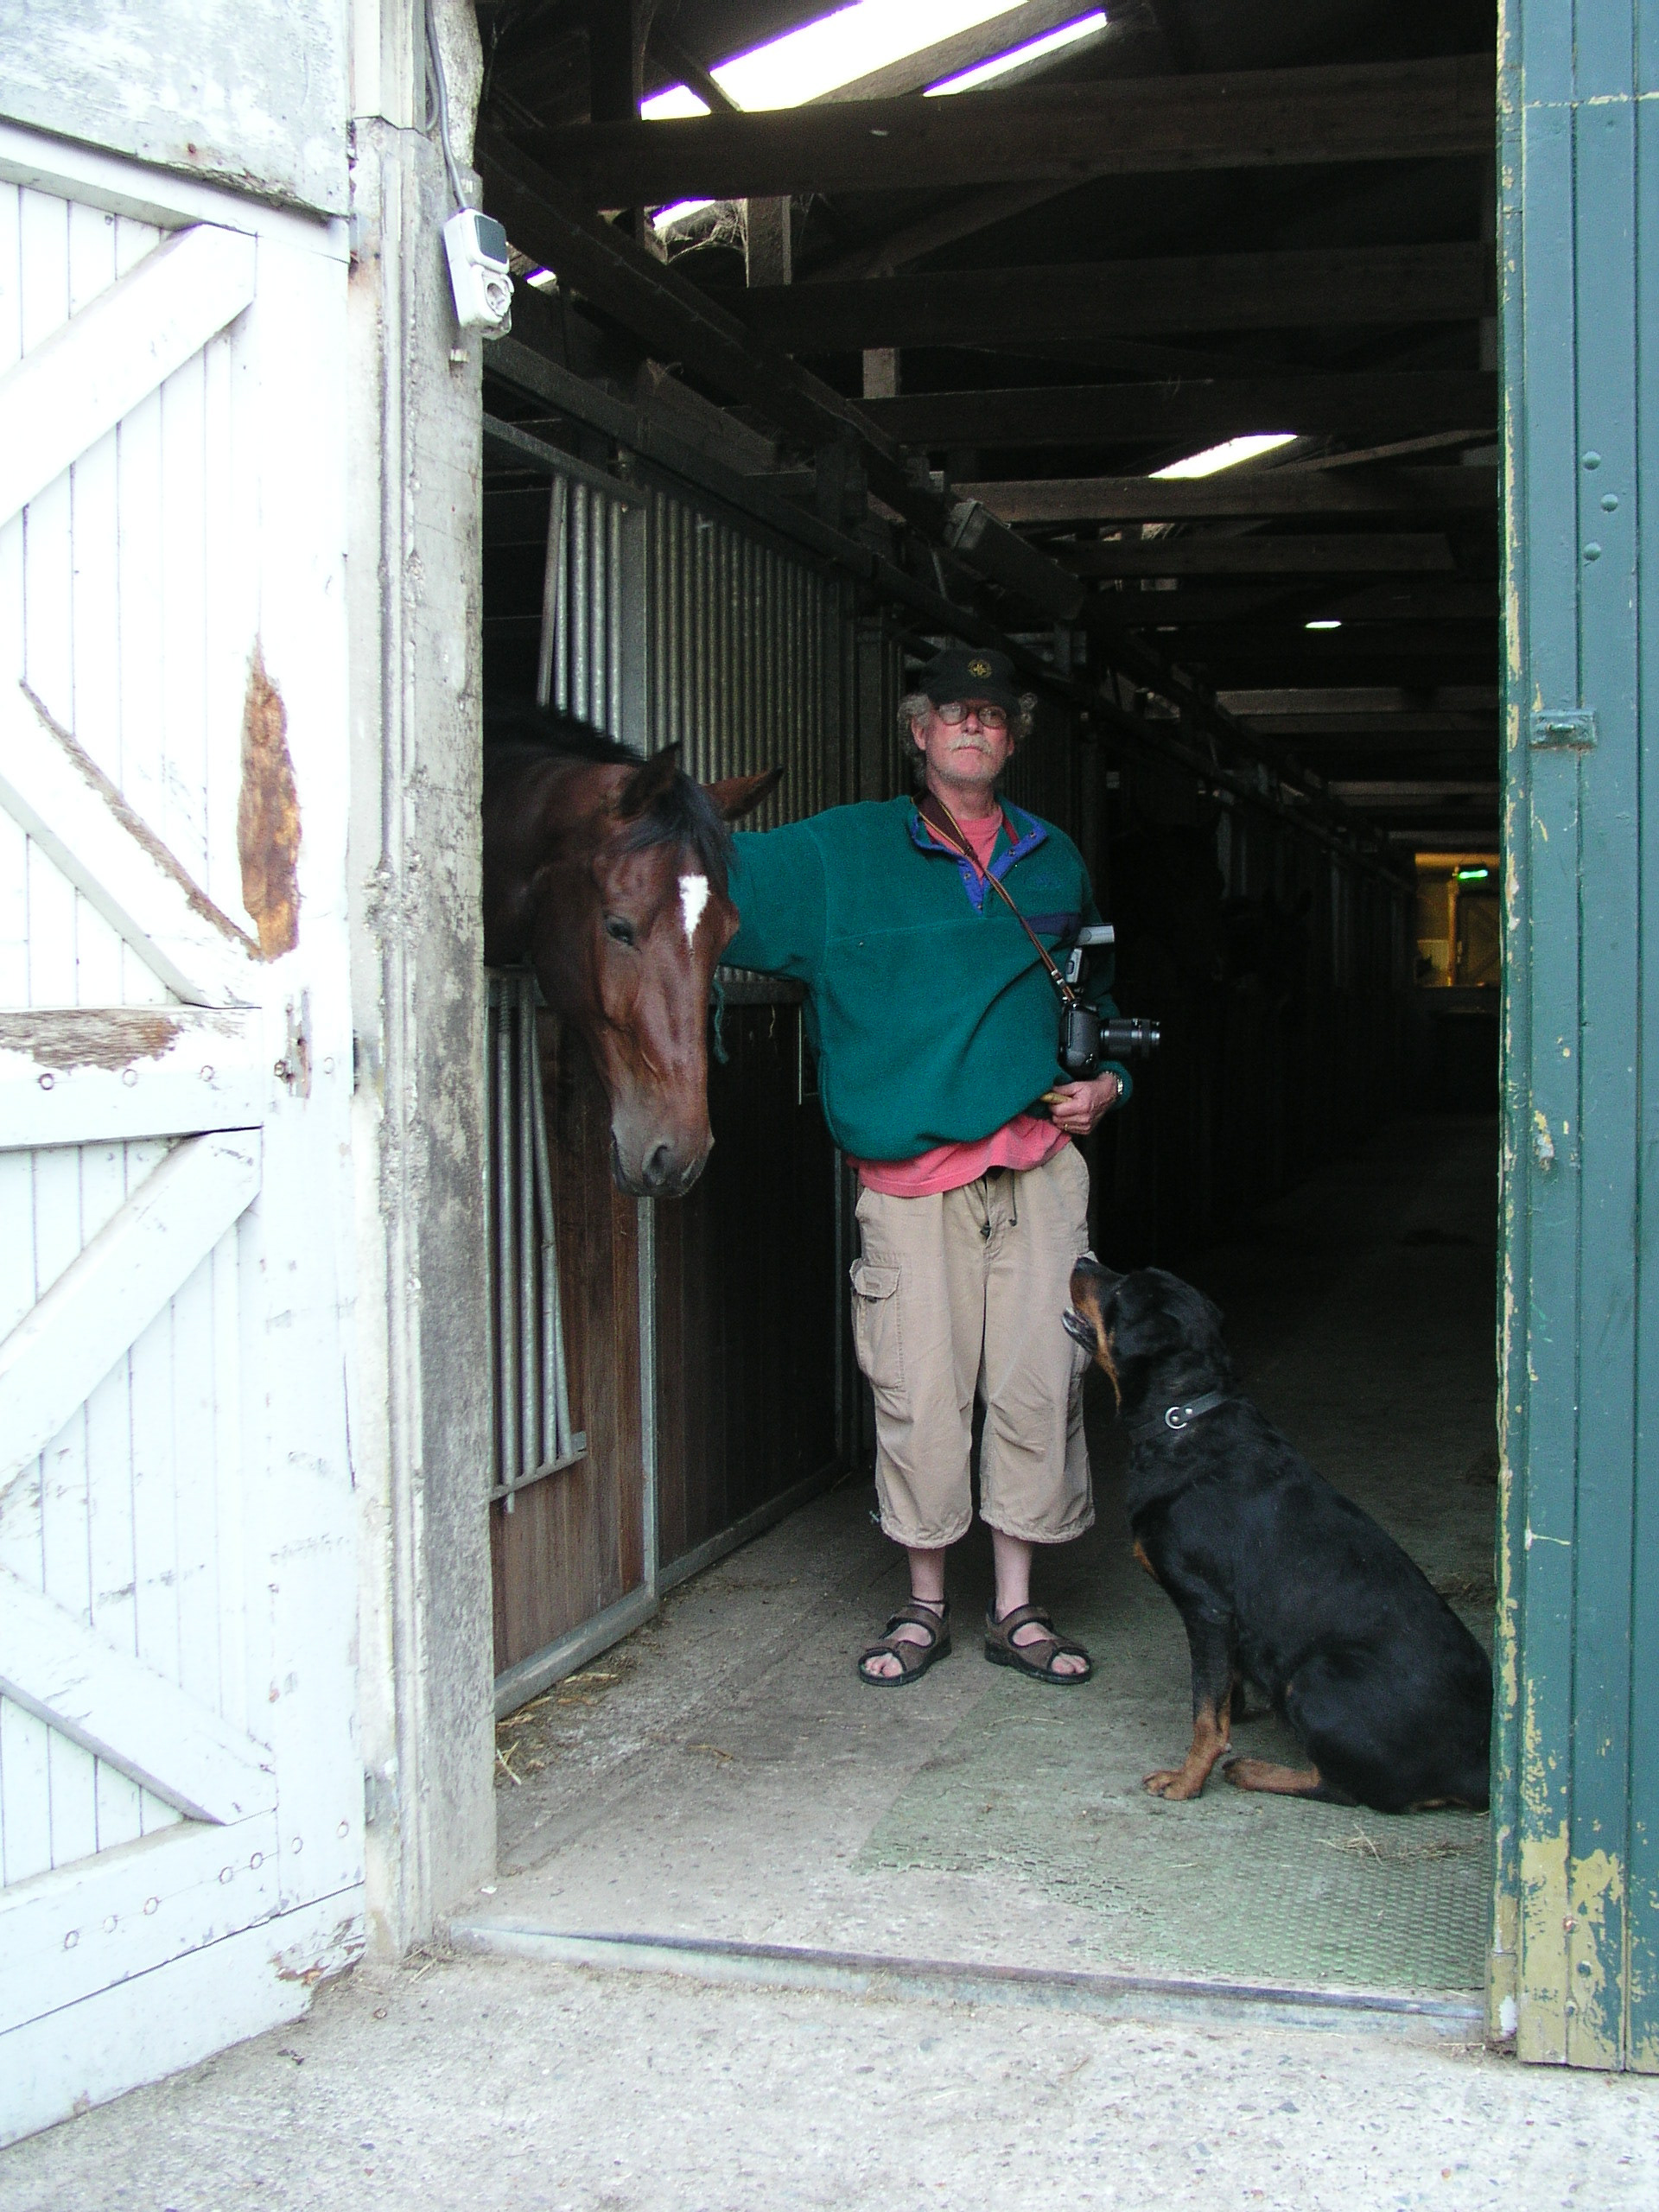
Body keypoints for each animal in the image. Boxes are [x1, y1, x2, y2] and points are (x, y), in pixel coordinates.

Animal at [1065, 1260, 1492, 1812]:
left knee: (1345, 1788)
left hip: (1316, 1678)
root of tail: (1478, 1764)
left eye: (1119, 1290)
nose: (1082, 1261)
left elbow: (1205, 1715)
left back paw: (1253, 1770)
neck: (1181, 1418)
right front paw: (1241, 1708)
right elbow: (1223, 1691)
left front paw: (1187, 1780)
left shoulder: (1207, 1606)